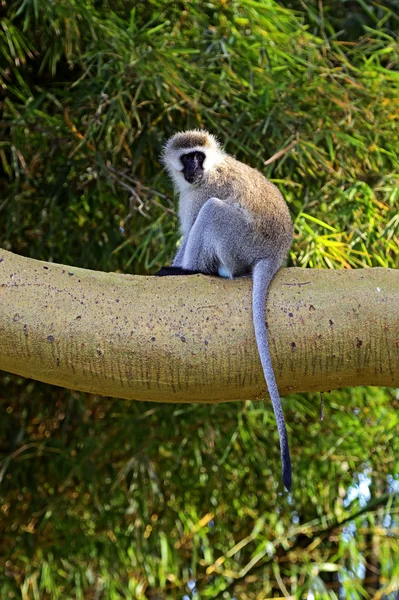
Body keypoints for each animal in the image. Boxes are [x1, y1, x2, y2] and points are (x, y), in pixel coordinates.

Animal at [159, 129, 294, 490]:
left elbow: (194, 226)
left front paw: (179, 270)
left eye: (199, 156)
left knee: (211, 213)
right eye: (187, 157)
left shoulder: (203, 192)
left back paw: (193, 272)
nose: (194, 169)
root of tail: (274, 255)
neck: (210, 171)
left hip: (240, 241)